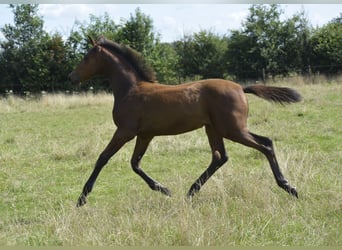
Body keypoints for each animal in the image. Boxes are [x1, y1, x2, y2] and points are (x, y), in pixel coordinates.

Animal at [70, 36, 302, 206]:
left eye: (86, 57)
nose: (71, 77)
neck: (131, 90)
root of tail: (240, 88)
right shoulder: (145, 134)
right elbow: (135, 163)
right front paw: (164, 189)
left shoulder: (125, 131)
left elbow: (103, 158)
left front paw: (82, 198)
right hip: (214, 129)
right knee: (221, 157)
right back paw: (190, 192)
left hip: (232, 129)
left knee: (265, 144)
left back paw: (289, 187)